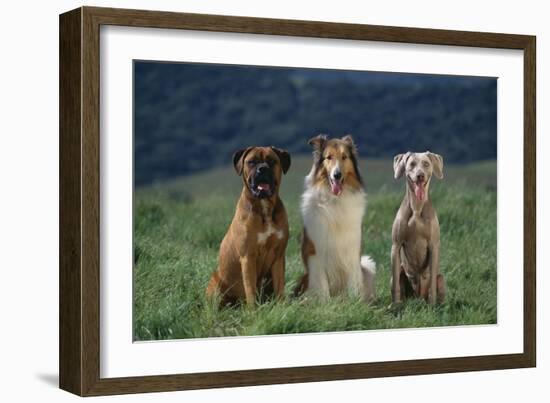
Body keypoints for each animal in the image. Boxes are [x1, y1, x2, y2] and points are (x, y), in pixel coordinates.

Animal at [207, 147, 294, 304]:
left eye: (272, 161)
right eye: (252, 162)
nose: (262, 168)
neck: (264, 207)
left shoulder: (278, 257)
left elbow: (280, 286)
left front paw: (282, 306)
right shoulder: (248, 257)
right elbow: (250, 289)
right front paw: (253, 309)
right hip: (216, 283)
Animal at [392, 152, 448, 306]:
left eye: (426, 164)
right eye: (411, 164)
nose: (420, 175)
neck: (417, 207)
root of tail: (418, 298)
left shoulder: (434, 246)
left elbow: (432, 284)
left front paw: (432, 305)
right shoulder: (396, 245)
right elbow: (395, 286)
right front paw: (394, 306)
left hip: (441, 278)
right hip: (401, 272)